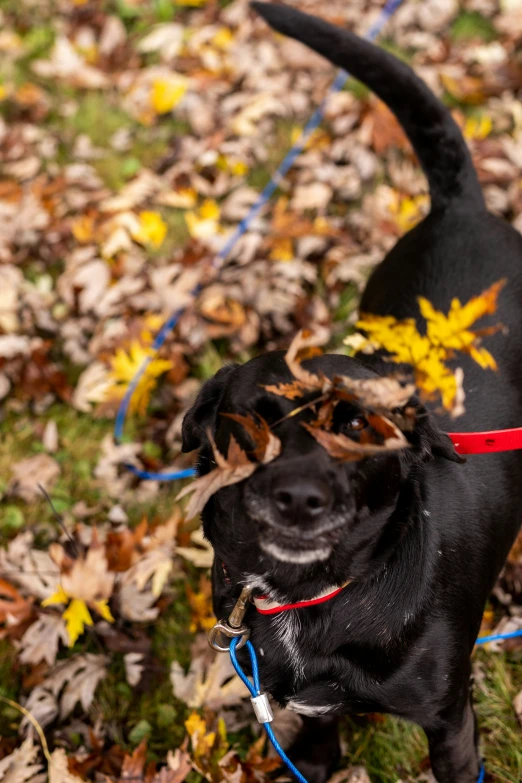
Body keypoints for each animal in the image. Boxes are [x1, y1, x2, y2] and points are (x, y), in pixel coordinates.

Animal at [181, 7, 520, 783]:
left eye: (361, 429)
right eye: (255, 422)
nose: (299, 499)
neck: (310, 599)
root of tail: (463, 206)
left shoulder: (451, 722)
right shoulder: (299, 707)